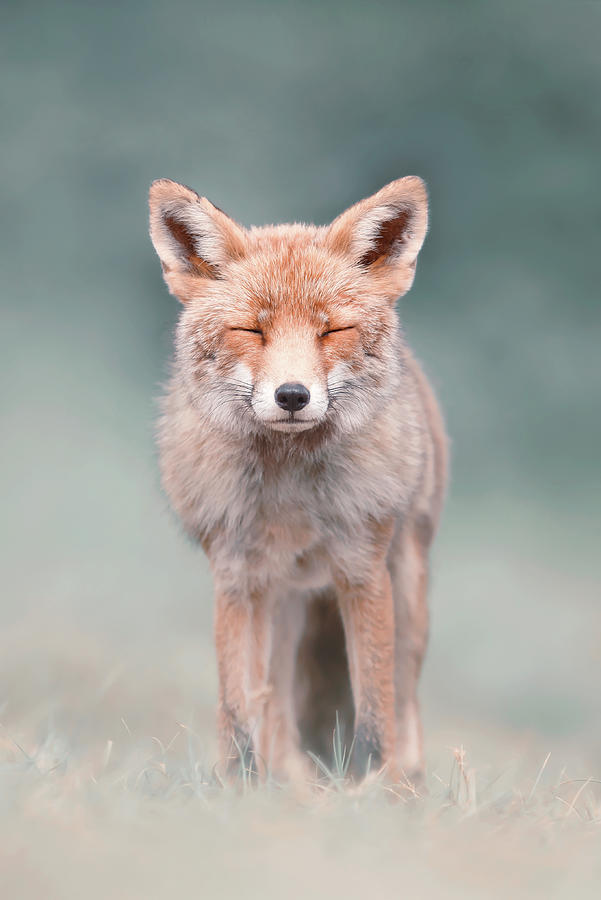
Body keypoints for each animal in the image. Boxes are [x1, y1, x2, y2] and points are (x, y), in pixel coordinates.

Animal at [147, 174, 446, 780]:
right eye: (251, 331)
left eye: (333, 330)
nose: (292, 396)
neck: (289, 493)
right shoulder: (235, 577)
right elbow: (238, 709)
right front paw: (238, 789)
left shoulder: (362, 569)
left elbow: (375, 705)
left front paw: (371, 787)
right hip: (283, 603)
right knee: (278, 707)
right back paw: (288, 783)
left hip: (408, 590)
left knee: (405, 695)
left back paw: (407, 781)